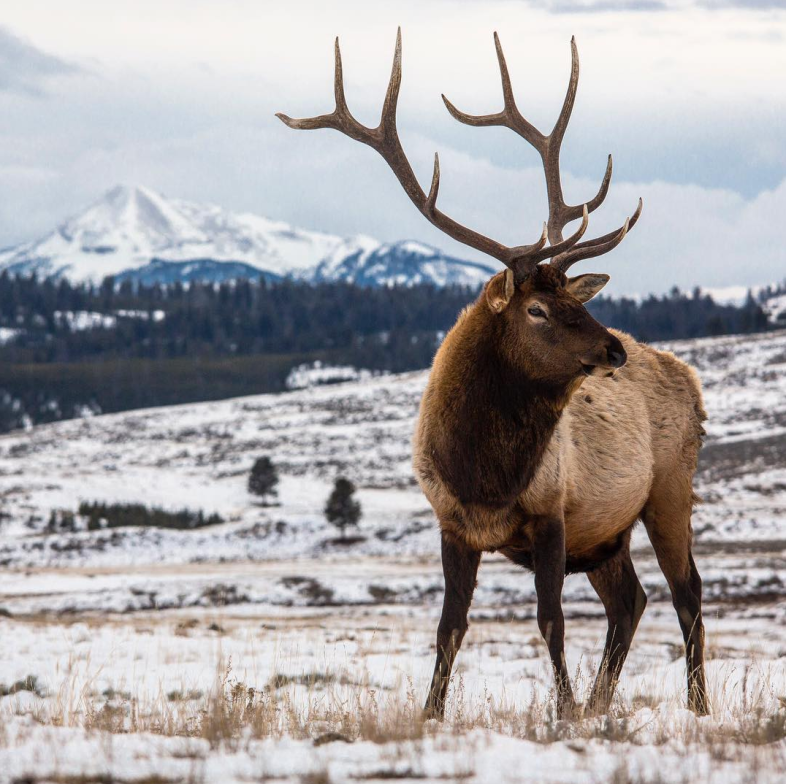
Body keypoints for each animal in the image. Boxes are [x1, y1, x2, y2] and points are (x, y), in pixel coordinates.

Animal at [278, 29, 708, 716]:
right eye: (537, 309)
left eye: (574, 300)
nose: (614, 350)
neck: (484, 474)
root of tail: (691, 381)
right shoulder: (452, 523)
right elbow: (450, 626)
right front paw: (432, 712)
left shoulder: (554, 511)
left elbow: (550, 619)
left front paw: (562, 712)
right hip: (608, 531)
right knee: (632, 601)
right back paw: (602, 704)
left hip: (668, 488)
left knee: (688, 595)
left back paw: (695, 707)